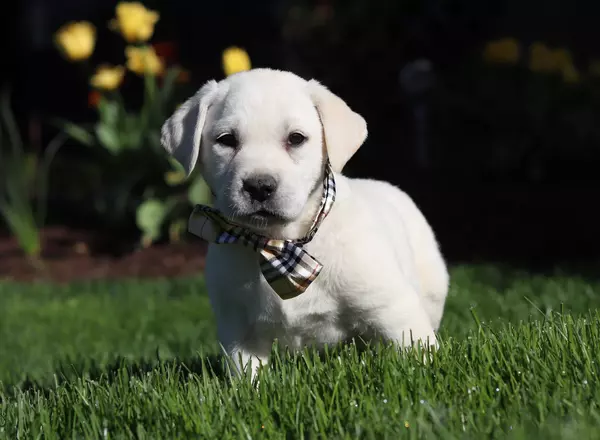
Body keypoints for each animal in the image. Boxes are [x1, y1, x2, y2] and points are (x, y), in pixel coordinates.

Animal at [162, 69, 448, 378]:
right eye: (226, 140)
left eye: (296, 138)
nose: (259, 186)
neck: (280, 244)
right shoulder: (239, 332)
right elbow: (247, 378)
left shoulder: (393, 308)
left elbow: (418, 351)